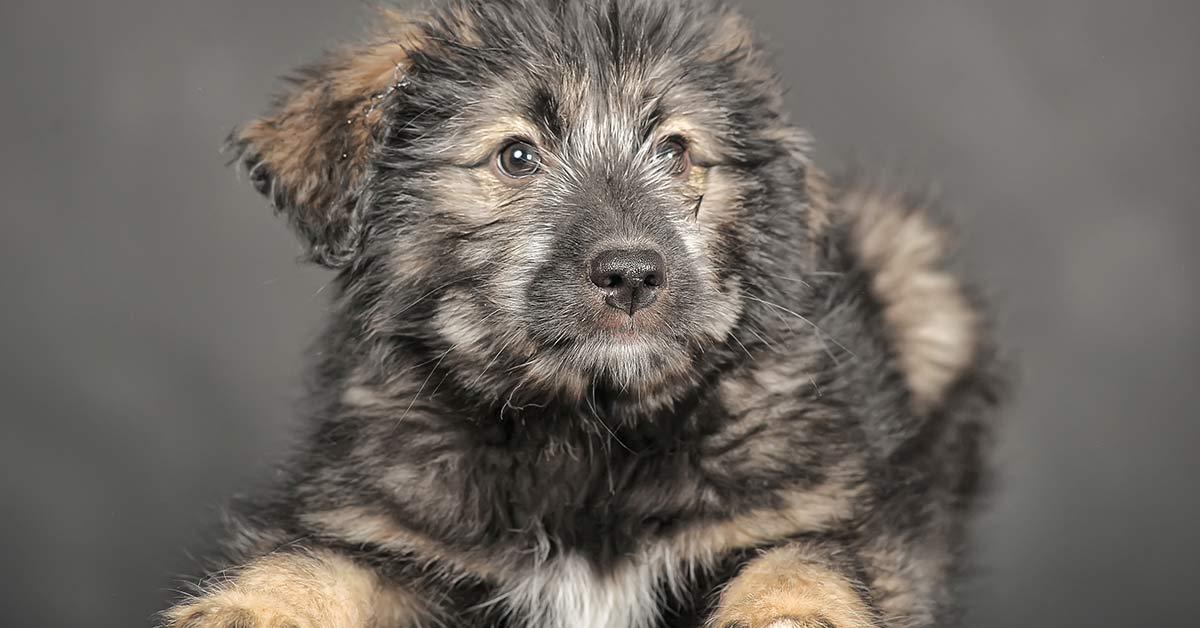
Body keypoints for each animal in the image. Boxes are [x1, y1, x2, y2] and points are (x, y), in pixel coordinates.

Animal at [162, 1, 1003, 628]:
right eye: (516, 156)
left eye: (675, 150)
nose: (632, 274)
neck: (585, 435)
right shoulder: (381, 528)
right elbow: (302, 566)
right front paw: (245, 609)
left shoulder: (821, 513)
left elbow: (802, 567)